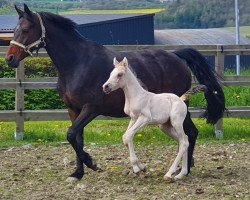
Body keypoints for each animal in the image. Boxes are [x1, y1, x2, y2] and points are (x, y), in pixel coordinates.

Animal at [5, 4, 225, 181]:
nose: (9, 59)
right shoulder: (73, 110)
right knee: (189, 134)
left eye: (26, 29)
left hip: (179, 109)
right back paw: (184, 168)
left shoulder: (91, 108)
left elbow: (71, 134)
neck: (78, 63)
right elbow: (76, 138)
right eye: (14, 30)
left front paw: (93, 164)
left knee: (190, 134)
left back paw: (183, 171)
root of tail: (177, 56)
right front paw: (77, 173)